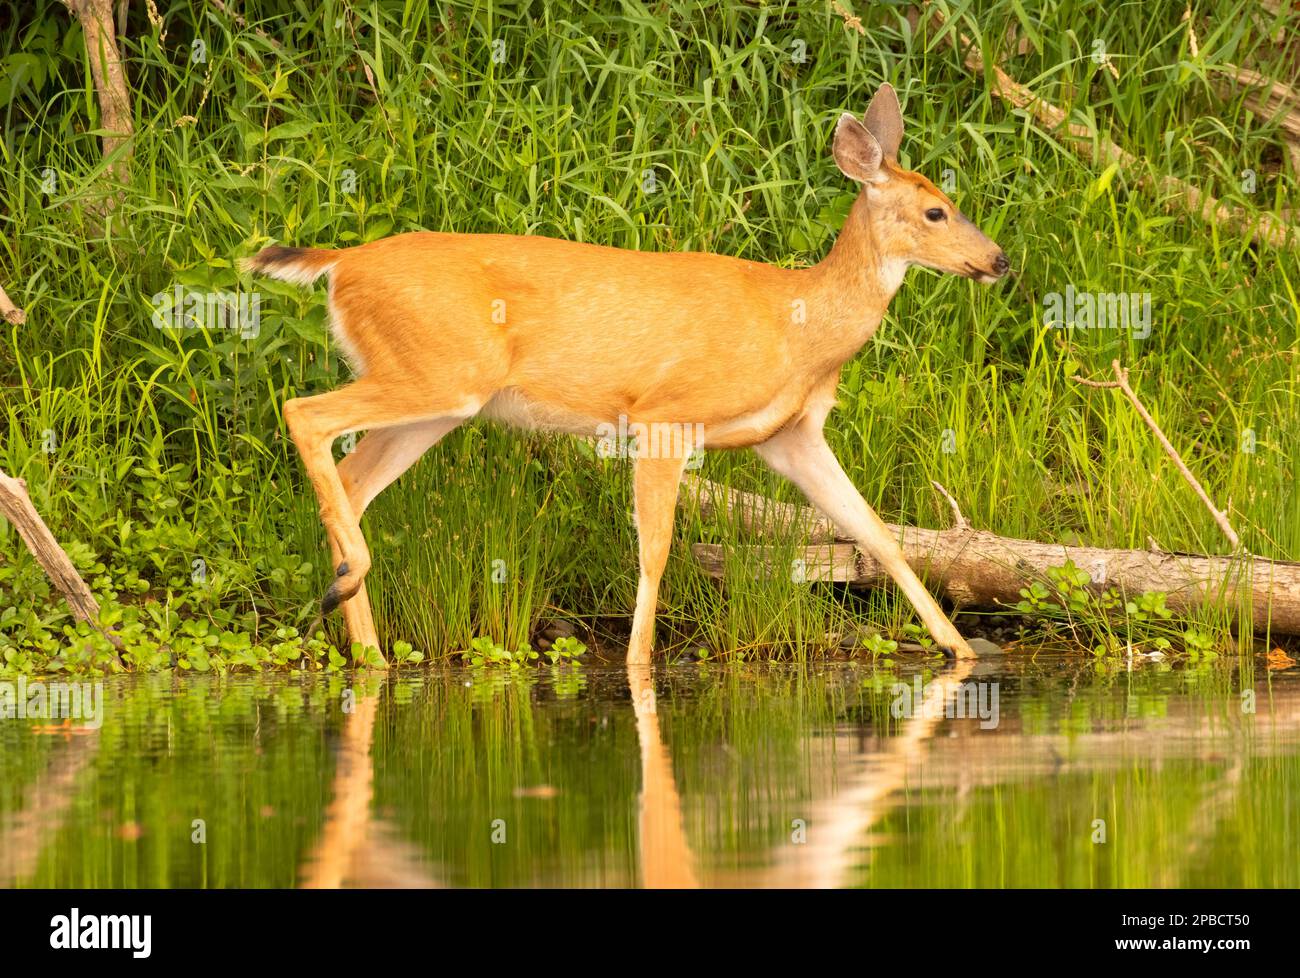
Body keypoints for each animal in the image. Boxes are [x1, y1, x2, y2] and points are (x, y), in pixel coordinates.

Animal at [243, 83, 1009, 666]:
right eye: (935, 210)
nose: (999, 260)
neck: (797, 327)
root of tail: (341, 264)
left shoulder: (789, 435)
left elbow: (876, 532)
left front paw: (959, 650)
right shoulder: (665, 415)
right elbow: (656, 550)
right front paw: (640, 665)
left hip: (438, 400)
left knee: (351, 478)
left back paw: (367, 646)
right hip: (434, 371)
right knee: (304, 412)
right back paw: (348, 581)